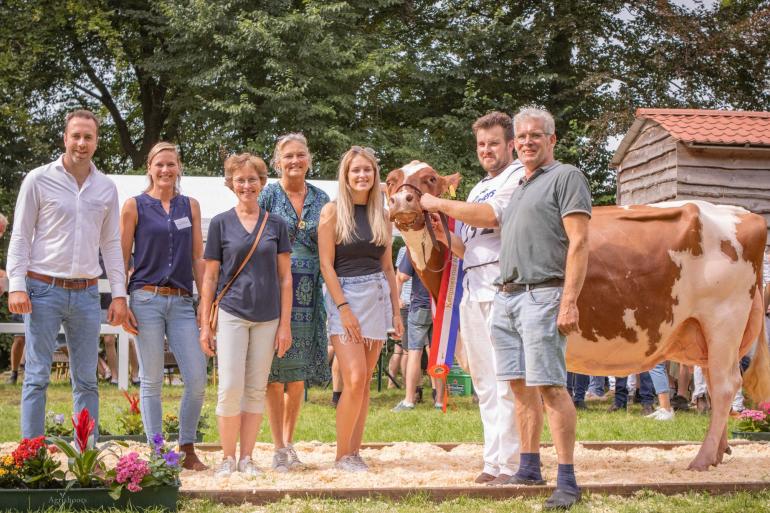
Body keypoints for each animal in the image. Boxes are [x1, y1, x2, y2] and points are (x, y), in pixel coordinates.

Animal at [388, 160, 768, 468]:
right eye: (392, 180)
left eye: (430, 179)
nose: (402, 201)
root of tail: (743, 214)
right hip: (705, 333)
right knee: (718, 383)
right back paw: (718, 453)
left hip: (723, 321)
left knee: (725, 386)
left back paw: (702, 459)